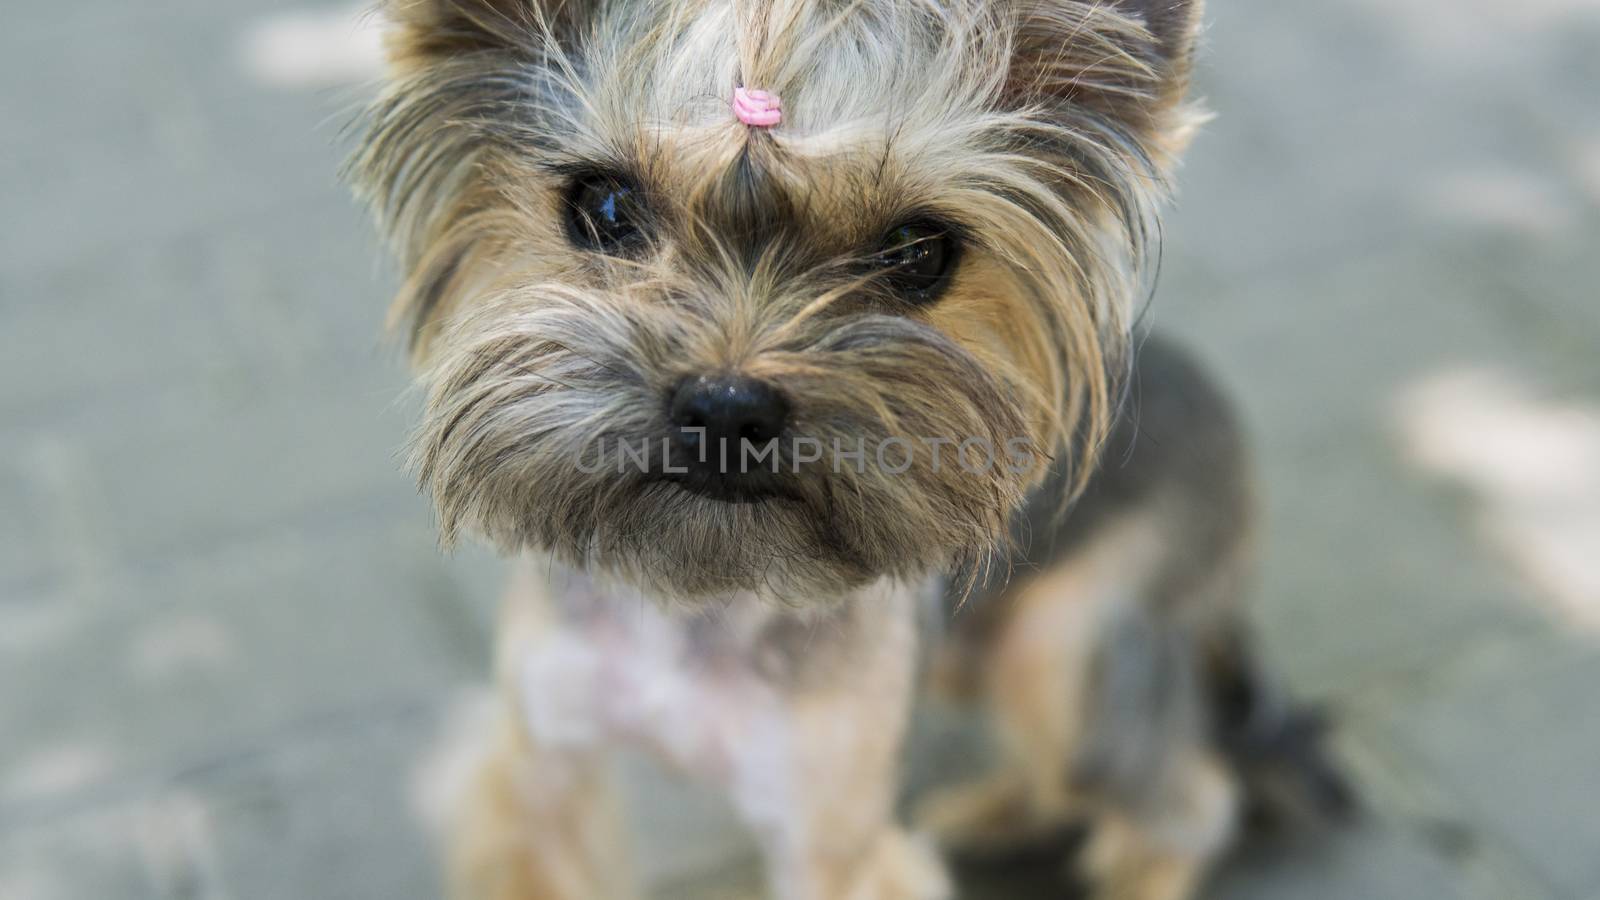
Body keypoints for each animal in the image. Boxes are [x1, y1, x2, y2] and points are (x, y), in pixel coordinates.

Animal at [353, 1, 1350, 896]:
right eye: (604, 206)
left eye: (916, 251)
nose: (727, 407)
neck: (701, 602)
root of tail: (1215, 398)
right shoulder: (540, 769)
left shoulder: (830, 830)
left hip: (1067, 643)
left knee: (1181, 793)